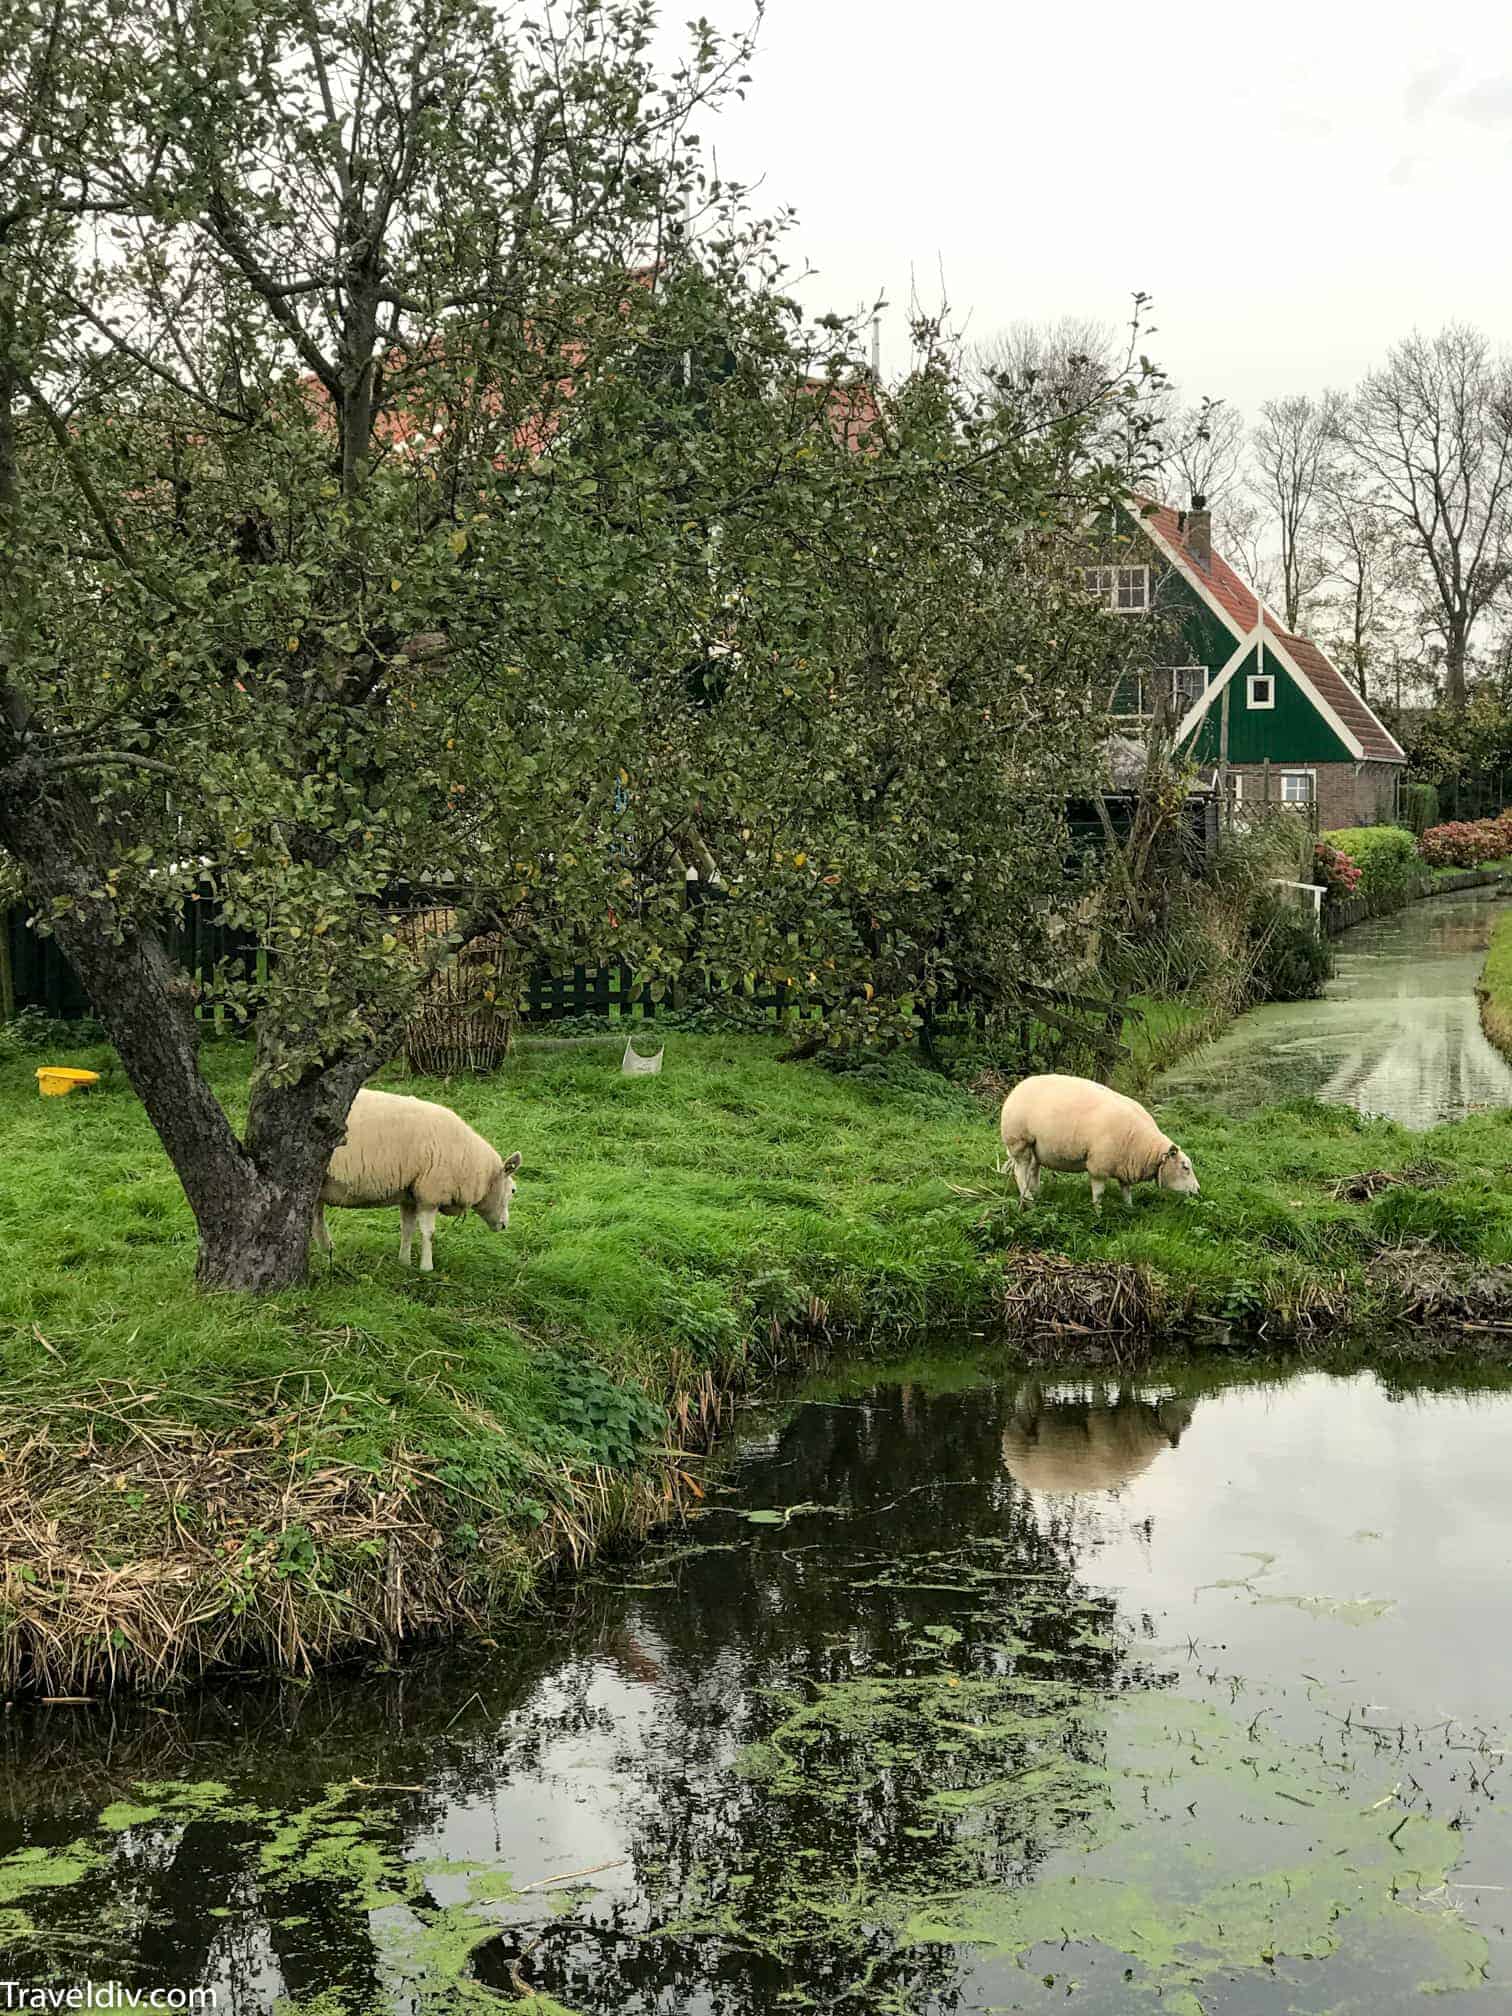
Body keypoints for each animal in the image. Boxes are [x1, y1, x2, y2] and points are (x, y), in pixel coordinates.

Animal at [310, 1096, 524, 1266]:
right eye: (513, 1190)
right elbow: (428, 1233)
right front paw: (426, 1267)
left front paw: (404, 1262)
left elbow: (408, 1229)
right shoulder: (430, 1193)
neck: (472, 1163)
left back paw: (327, 1252)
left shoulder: (410, 1195)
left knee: (316, 1218)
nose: (505, 1225)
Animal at [999, 1072, 1201, 1209]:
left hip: (1036, 1147)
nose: (1198, 1190)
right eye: (1185, 1167)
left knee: (1033, 1169)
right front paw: (1098, 1212)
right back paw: (1028, 1199)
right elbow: (1099, 1193)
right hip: (1020, 1141)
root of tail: (1020, 1086)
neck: (1145, 1148)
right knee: (1020, 1172)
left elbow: (1126, 1190)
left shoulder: (1125, 1165)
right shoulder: (1099, 1166)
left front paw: (1129, 1208)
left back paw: (1037, 1193)